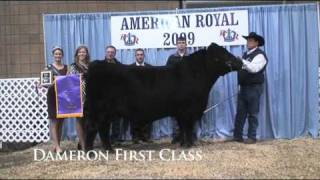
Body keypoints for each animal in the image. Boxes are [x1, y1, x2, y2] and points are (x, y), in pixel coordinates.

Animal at [84, 43, 241, 151]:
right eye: (220, 56)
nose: (239, 62)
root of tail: (96, 65)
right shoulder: (188, 110)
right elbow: (187, 127)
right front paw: (188, 145)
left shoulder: (181, 112)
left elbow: (182, 128)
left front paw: (183, 144)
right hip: (98, 110)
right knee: (93, 128)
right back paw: (90, 151)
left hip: (107, 113)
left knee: (102, 128)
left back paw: (108, 149)